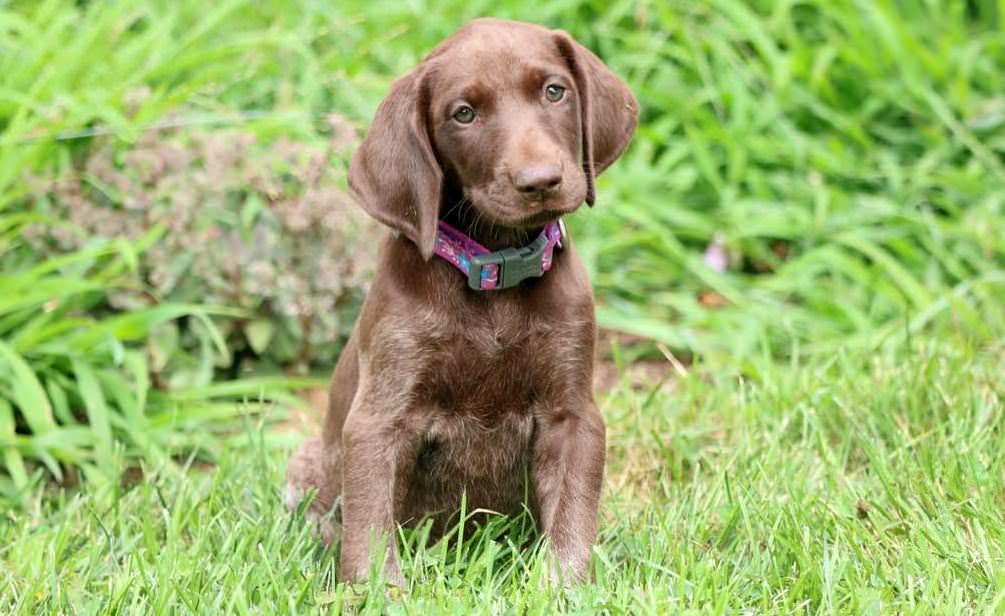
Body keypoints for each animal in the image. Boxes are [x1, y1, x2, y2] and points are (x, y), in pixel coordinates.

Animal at [287, 15, 639, 582]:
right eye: (464, 114)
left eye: (554, 91)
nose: (540, 181)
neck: (495, 271)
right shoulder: (379, 417)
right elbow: (370, 527)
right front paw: (374, 592)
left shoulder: (572, 415)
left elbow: (571, 519)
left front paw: (563, 588)